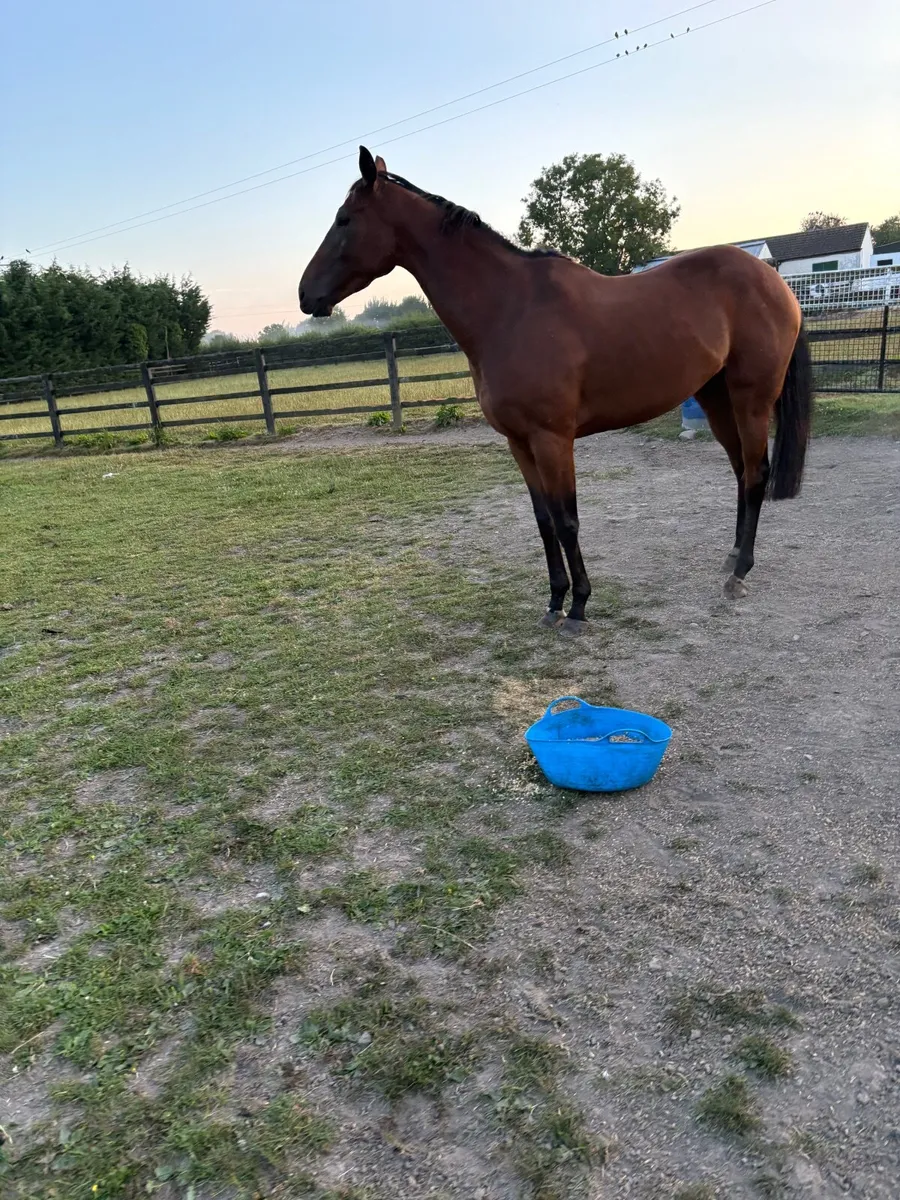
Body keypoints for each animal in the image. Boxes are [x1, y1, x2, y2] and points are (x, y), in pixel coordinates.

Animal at [300, 147, 812, 635]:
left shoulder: (552, 439)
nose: (306, 295)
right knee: (741, 474)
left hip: (751, 399)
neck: (509, 309)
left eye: (345, 220)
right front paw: (553, 602)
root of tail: (775, 281)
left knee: (755, 474)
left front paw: (579, 607)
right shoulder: (519, 443)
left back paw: (740, 574)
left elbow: (567, 520)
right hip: (715, 397)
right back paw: (731, 560)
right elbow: (544, 521)